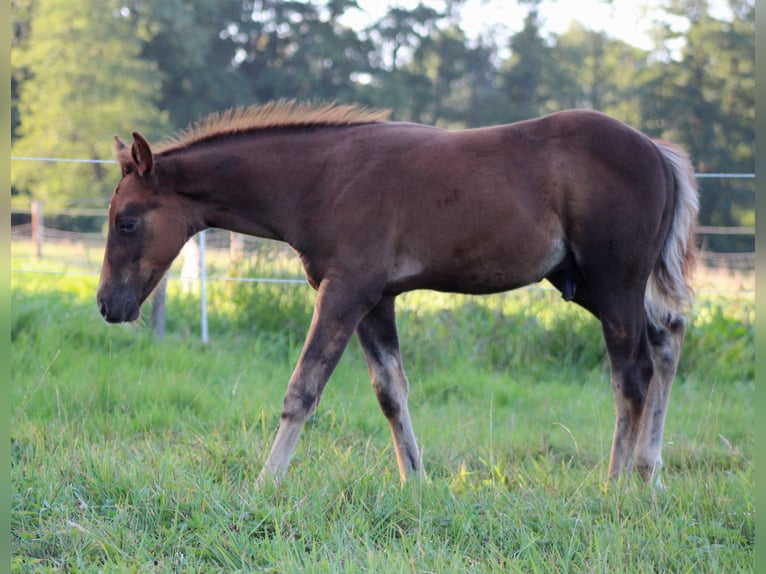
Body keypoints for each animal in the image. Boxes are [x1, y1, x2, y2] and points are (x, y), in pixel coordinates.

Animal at [97, 101, 698, 488]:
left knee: (633, 374)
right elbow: (391, 391)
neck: (321, 177)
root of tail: (658, 152)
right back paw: (649, 475)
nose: (107, 305)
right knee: (668, 338)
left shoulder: (345, 292)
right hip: (588, 284)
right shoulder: (376, 300)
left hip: (614, 282)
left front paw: (265, 485)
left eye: (126, 222)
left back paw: (614, 485)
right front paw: (417, 483)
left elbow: (302, 390)